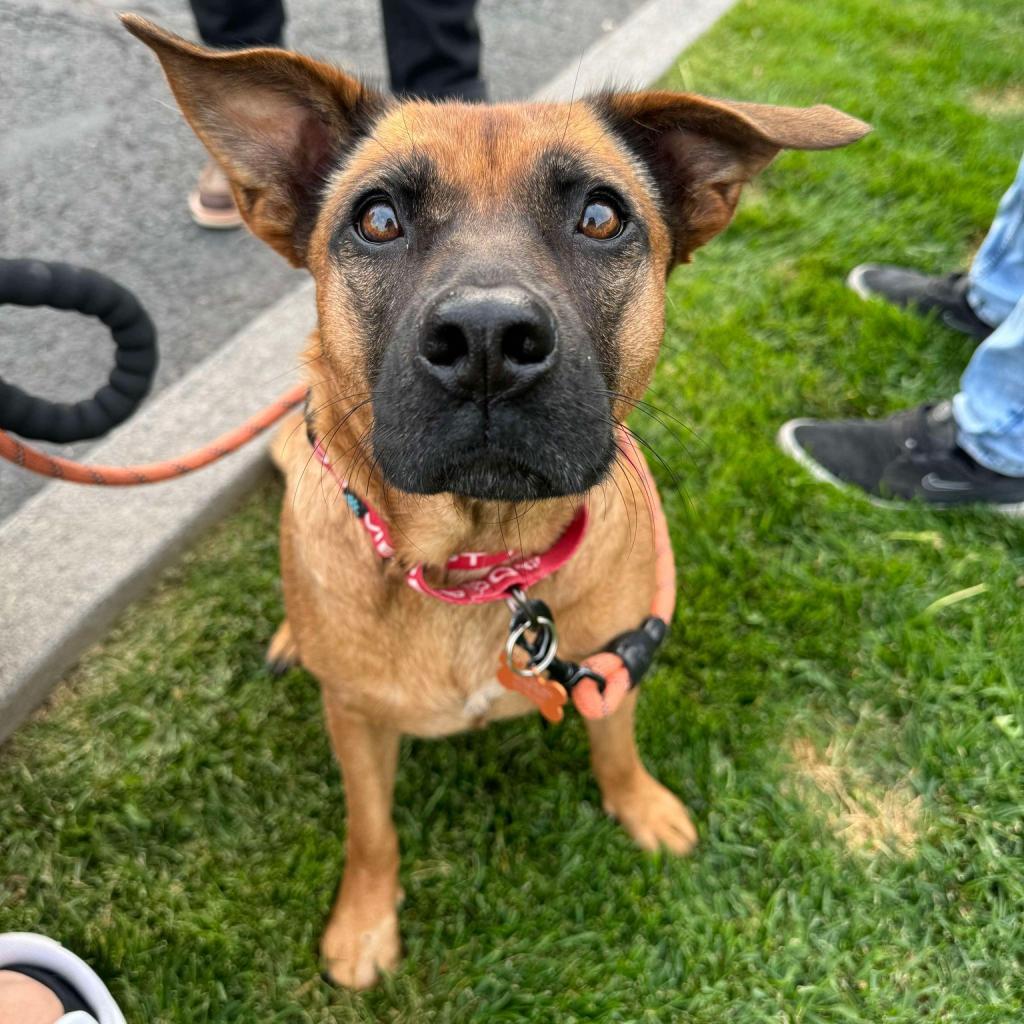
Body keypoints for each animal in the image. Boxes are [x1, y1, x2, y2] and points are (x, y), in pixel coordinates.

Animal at [123, 14, 868, 991]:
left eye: (601, 215)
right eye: (377, 218)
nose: (485, 339)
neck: (478, 564)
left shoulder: (615, 662)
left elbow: (616, 745)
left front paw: (640, 805)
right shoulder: (355, 724)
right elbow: (370, 830)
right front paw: (365, 921)